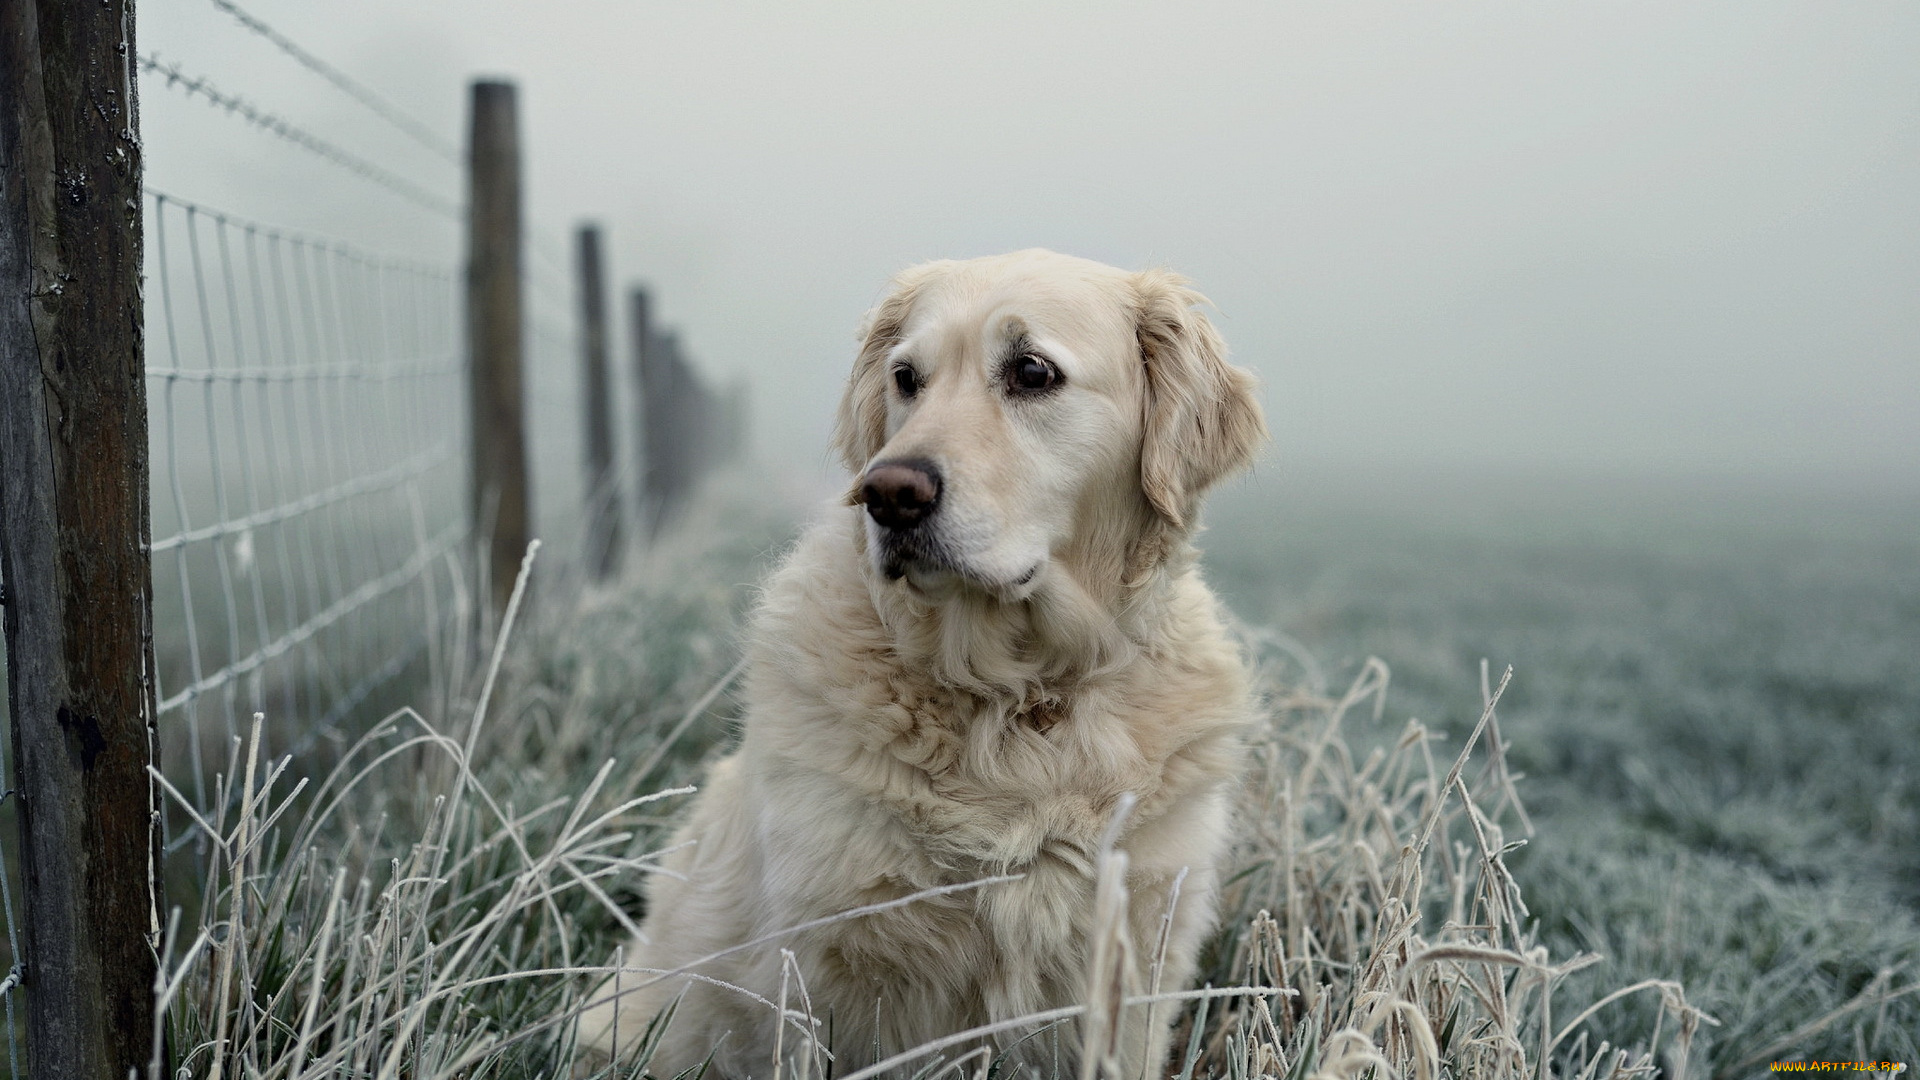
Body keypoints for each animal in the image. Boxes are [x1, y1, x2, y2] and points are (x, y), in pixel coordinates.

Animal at [579, 247, 1274, 1068]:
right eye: (907, 377)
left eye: (1032, 370)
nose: (887, 492)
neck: (1018, 699)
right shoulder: (820, 967)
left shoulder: (1135, 951)